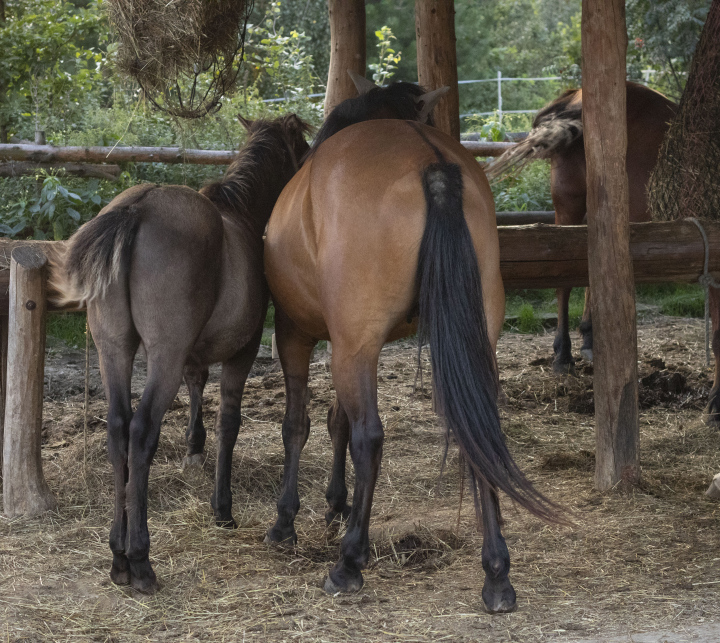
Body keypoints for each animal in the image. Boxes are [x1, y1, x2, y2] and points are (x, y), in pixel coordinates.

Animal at [49, 114, 310, 592]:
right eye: (300, 145)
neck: (240, 218)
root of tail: (138, 206)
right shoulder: (241, 353)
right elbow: (229, 424)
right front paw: (222, 509)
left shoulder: (192, 358)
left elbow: (198, 396)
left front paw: (195, 451)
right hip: (161, 358)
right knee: (141, 432)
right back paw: (139, 559)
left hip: (113, 352)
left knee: (118, 431)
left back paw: (118, 557)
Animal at [262, 79, 564, 612]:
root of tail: (432, 165)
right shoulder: (345, 342)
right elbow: (336, 419)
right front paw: (337, 504)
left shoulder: (299, 332)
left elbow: (299, 425)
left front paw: (287, 520)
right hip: (467, 340)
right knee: (478, 431)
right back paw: (497, 575)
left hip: (353, 345)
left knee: (370, 437)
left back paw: (348, 565)